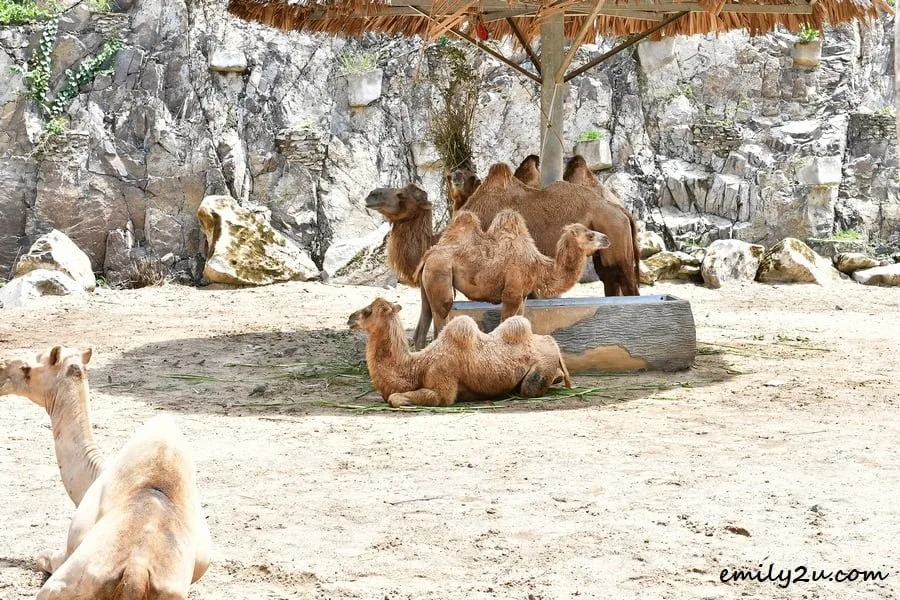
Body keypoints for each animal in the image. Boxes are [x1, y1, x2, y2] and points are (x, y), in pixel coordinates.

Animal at [0, 346, 211, 599]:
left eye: (27, 368)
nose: (1, 367)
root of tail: (136, 572)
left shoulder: (69, 547)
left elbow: (40, 556)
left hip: (67, 581)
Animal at [348, 297, 571, 407]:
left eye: (368, 311)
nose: (350, 317)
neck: (416, 367)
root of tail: (552, 343)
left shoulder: (442, 385)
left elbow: (395, 398)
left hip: (539, 369)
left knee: (529, 388)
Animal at [414, 209, 610, 348]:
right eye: (590, 235)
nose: (607, 238)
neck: (536, 267)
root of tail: (428, 254)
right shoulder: (511, 295)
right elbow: (504, 326)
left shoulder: (522, 298)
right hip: (440, 273)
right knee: (442, 317)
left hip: (428, 283)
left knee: (423, 324)